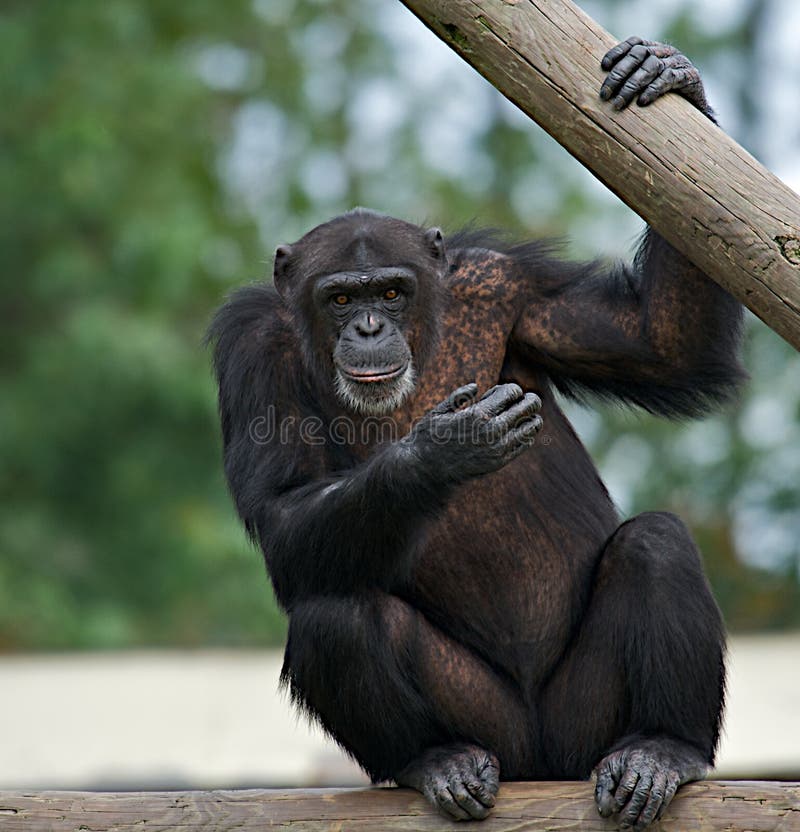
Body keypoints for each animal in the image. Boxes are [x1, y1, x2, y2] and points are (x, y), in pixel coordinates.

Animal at [206, 39, 744, 832]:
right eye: (340, 298)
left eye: (391, 290)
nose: (369, 326)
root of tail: (542, 762)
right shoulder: (251, 349)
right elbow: (282, 509)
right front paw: (439, 452)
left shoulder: (509, 285)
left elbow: (661, 343)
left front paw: (672, 76)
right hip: (494, 727)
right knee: (334, 613)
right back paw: (435, 760)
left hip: (586, 726)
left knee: (657, 545)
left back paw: (662, 748)